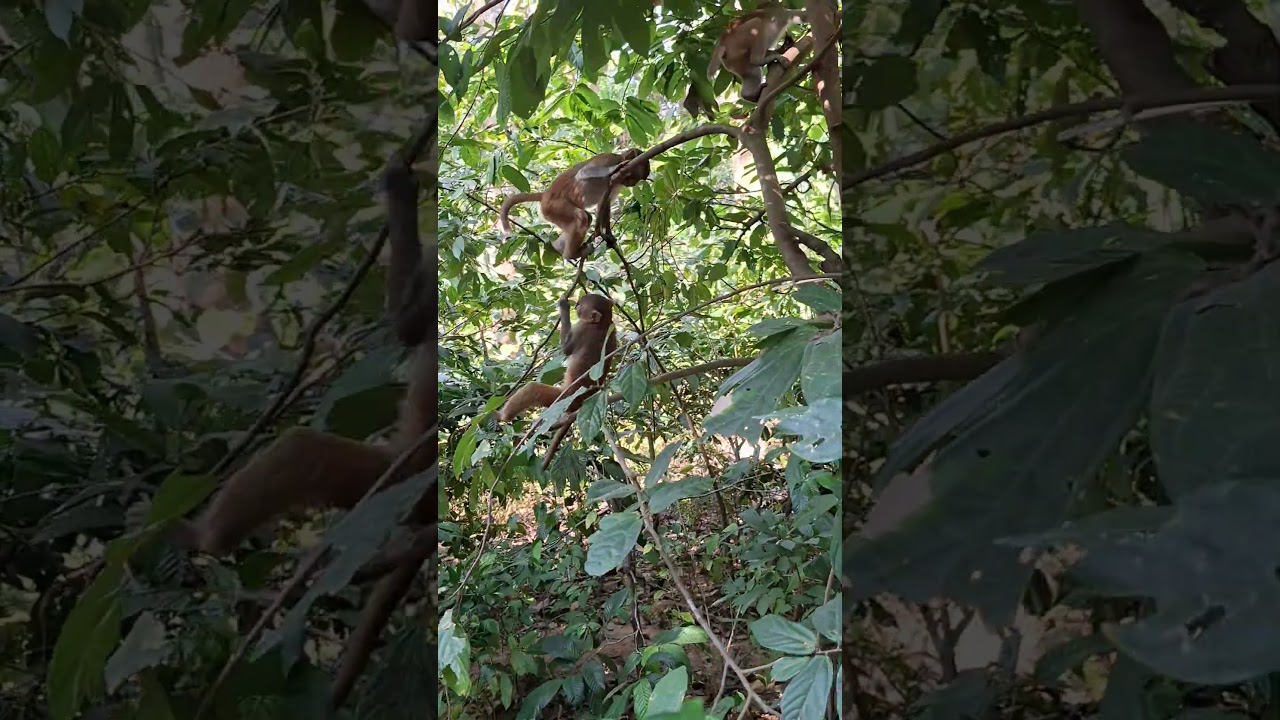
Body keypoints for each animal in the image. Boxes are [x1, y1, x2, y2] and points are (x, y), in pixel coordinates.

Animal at [496, 293, 618, 427]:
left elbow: (566, 349)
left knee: (532, 389)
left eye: (581, 305)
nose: (576, 305)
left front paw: (564, 306)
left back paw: (503, 416)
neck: (603, 323)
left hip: (563, 399)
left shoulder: (581, 328)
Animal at [497, 150, 651, 262]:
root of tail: (546, 194)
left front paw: (608, 235)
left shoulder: (617, 185)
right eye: (633, 178)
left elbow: (604, 203)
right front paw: (614, 168)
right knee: (582, 217)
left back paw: (559, 248)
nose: (631, 184)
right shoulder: (608, 159)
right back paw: (570, 254)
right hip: (553, 206)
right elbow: (585, 172)